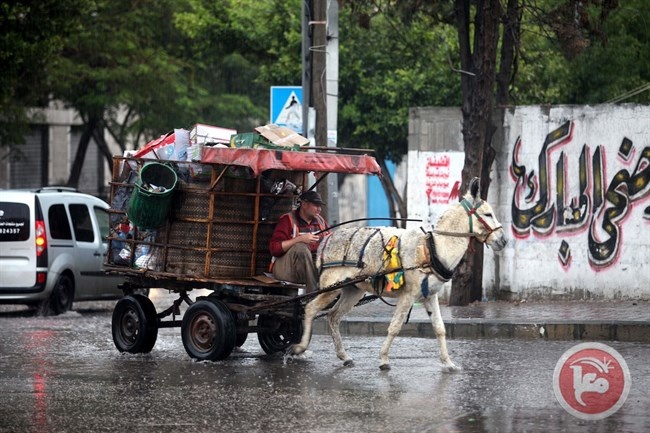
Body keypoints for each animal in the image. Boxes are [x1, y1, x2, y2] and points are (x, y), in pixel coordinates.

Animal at [288, 177, 506, 370]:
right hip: (330, 288)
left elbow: (440, 328)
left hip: (352, 290)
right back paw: (300, 348)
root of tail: (326, 239)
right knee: (310, 309)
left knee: (333, 316)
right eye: (488, 214)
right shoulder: (408, 295)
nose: (502, 241)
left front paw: (448, 363)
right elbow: (395, 326)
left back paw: (344, 356)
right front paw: (384, 359)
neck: (432, 248)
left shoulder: (430, 295)